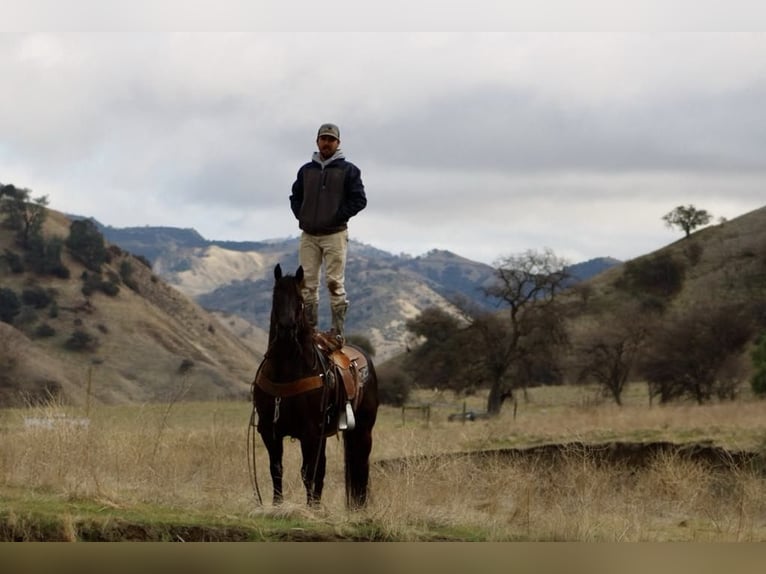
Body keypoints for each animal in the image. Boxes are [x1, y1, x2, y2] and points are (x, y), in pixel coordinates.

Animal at [252, 264, 380, 508]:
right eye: (275, 297)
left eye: (300, 300)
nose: (286, 329)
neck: (285, 371)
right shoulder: (270, 431)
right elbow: (277, 470)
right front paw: (278, 505)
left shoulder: (310, 432)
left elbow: (309, 472)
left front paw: (312, 508)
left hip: (362, 429)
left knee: (360, 465)